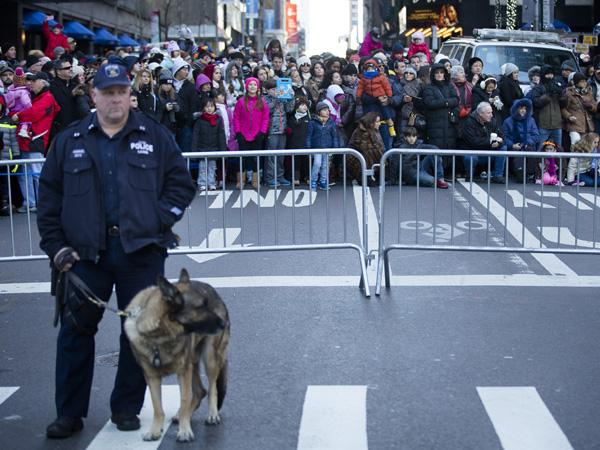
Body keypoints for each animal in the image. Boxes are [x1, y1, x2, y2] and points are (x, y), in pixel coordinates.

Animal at [124, 268, 230, 442]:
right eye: (201, 307)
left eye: (207, 305)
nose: (223, 323)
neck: (160, 338)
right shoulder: (152, 377)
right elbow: (157, 406)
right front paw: (155, 430)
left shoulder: (183, 372)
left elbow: (185, 400)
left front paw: (185, 431)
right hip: (193, 363)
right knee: (200, 391)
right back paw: (180, 415)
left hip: (209, 360)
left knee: (211, 389)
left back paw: (212, 414)